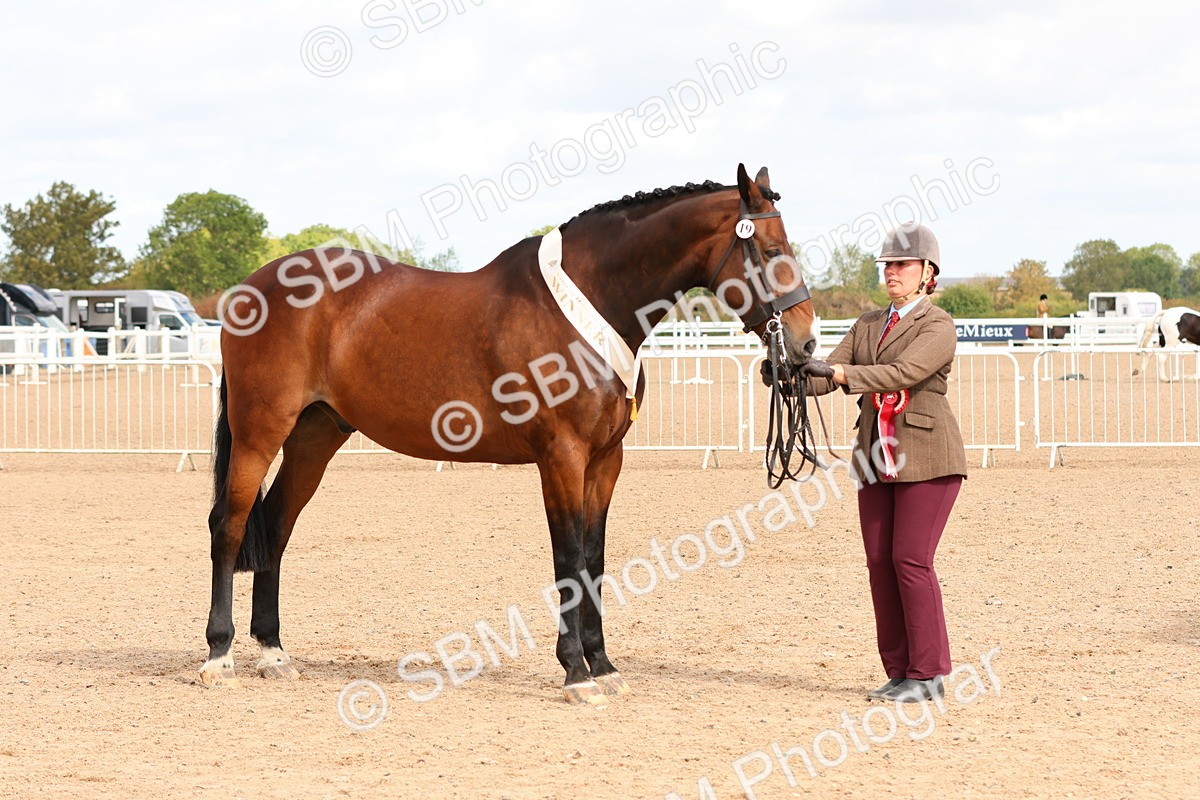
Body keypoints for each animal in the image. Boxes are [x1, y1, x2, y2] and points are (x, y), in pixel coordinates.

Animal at [202, 164, 817, 705]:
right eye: (770, 252)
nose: (806, 344)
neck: (588, 308)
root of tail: (251, 289)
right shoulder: (561, 457)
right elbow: (568, 557)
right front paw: (575, 674)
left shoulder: (605, 461)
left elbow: (593, 558)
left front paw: (604, 666)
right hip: (259, 433)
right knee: (230, 526)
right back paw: (219, 656)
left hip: (315, 437)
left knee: (277, 525)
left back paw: (273, 653)